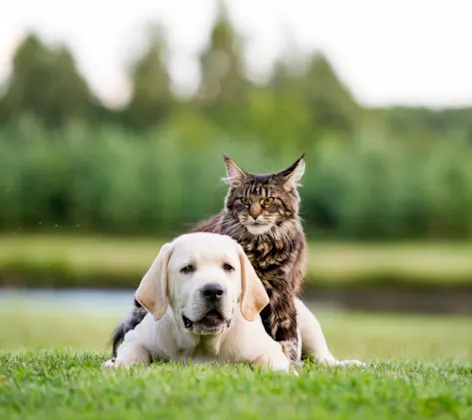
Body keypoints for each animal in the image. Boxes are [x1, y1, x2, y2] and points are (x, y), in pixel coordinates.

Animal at [104, 231, 292, 372]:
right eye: (187, 268)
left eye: (228, 267)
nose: (213, 291)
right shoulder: (135, 338)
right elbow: (134, 351)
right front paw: (117, 364)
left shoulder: (269, 348)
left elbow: (271, 362)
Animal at [113, 153, 308, 362]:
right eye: (245, 201)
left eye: (268, 201)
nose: (254, 215)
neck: (260, 247)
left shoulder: (281, 295)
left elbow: (286, 338)